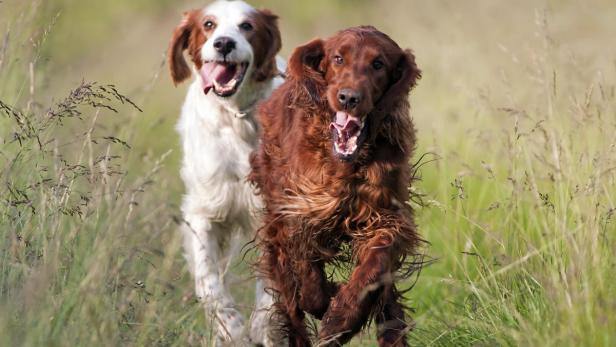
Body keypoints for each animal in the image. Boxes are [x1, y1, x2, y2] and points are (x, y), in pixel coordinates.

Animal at [168, 1, 284, 346]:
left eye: (247, 26)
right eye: (208, 24)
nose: (223, 44)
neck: (237, 117)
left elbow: (270, 288)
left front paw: (261, 326)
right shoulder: (204, 212)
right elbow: (208, 282)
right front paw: (231, 328)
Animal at [250, 25, 424, 346]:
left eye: (378, 64)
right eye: (338, 58)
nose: (348, 97)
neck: (345, 162)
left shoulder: (387, 217)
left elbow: (374, 267)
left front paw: (340, 318)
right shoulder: (299, 212)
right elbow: (308, 280)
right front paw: (327, 299)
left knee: (388, 305)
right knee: (293, 309)